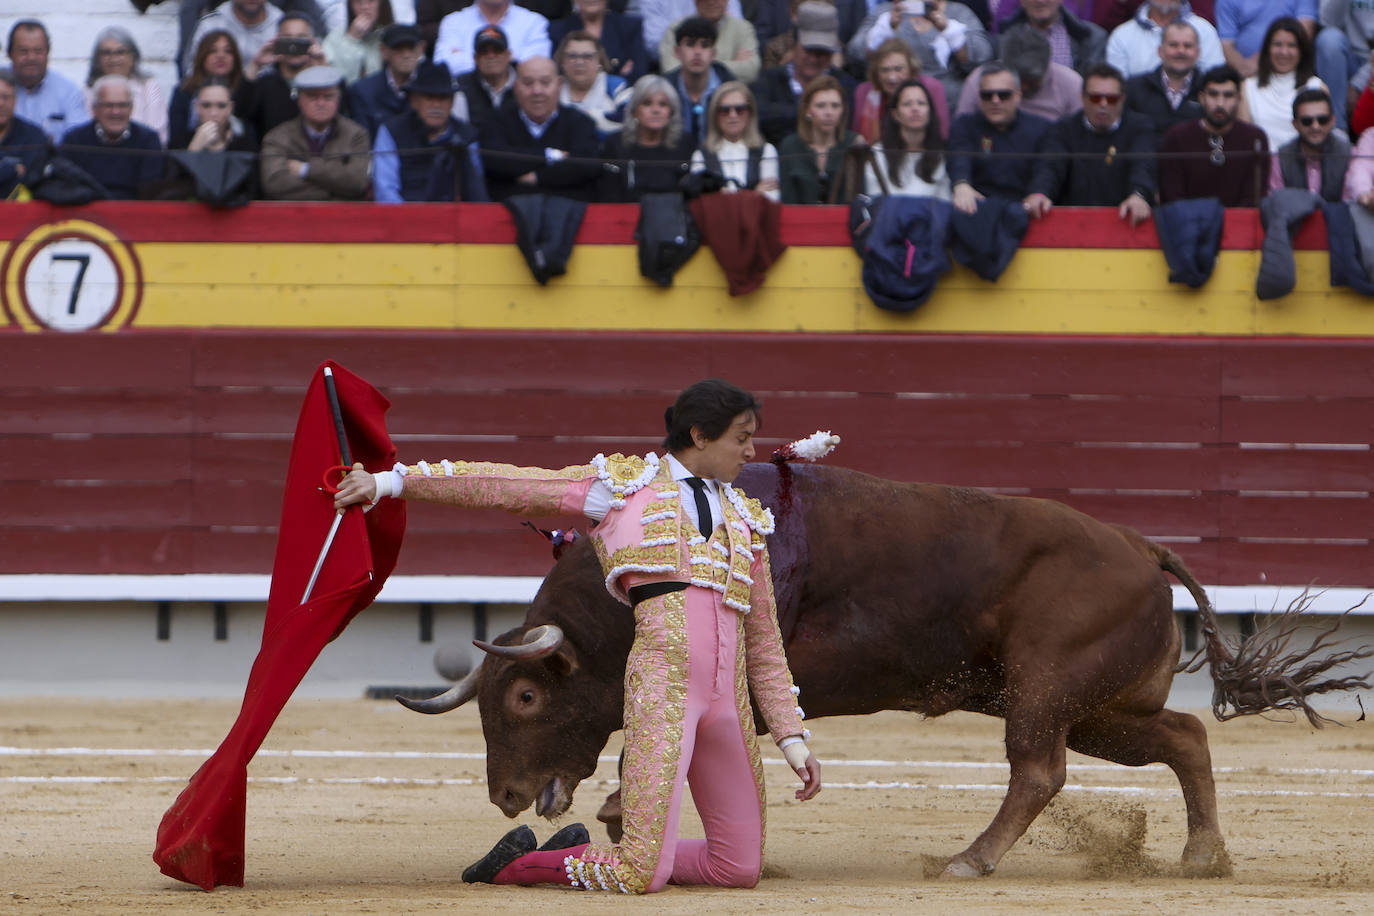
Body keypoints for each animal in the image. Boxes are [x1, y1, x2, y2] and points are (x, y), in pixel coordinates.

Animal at [395, 461, 1363, 878]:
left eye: (525, 694)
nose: (505, 798)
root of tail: (1142, 545)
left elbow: (652, 748)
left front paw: (621, 811)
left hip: (1046, 690)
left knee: (1039, 770)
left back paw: (971, 862)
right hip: (1098, 708)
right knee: (1185, 734)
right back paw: (1201, 856)